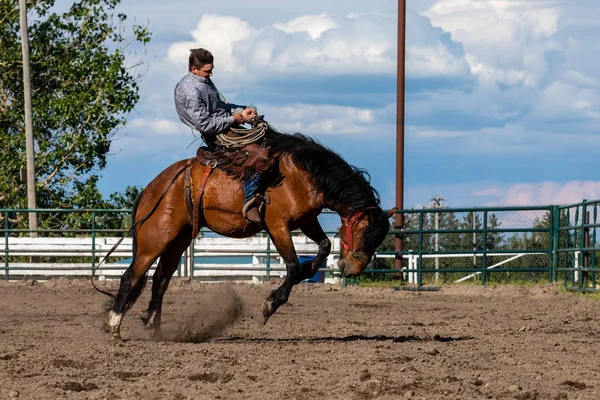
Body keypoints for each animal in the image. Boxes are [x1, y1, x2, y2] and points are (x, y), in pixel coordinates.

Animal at [104, 130, 394, 340]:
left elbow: (323, 246)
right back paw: (115, 328)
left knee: (160, 280)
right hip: (155, 239)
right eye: (362, 232)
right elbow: (292, 266)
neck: (303, 174)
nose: (351, 270)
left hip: (178, 240)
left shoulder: (307, 220)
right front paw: (269, 306)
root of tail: (153, 186)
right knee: (132, 276)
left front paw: (308, 270)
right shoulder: (278, 226)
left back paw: (154, 329)